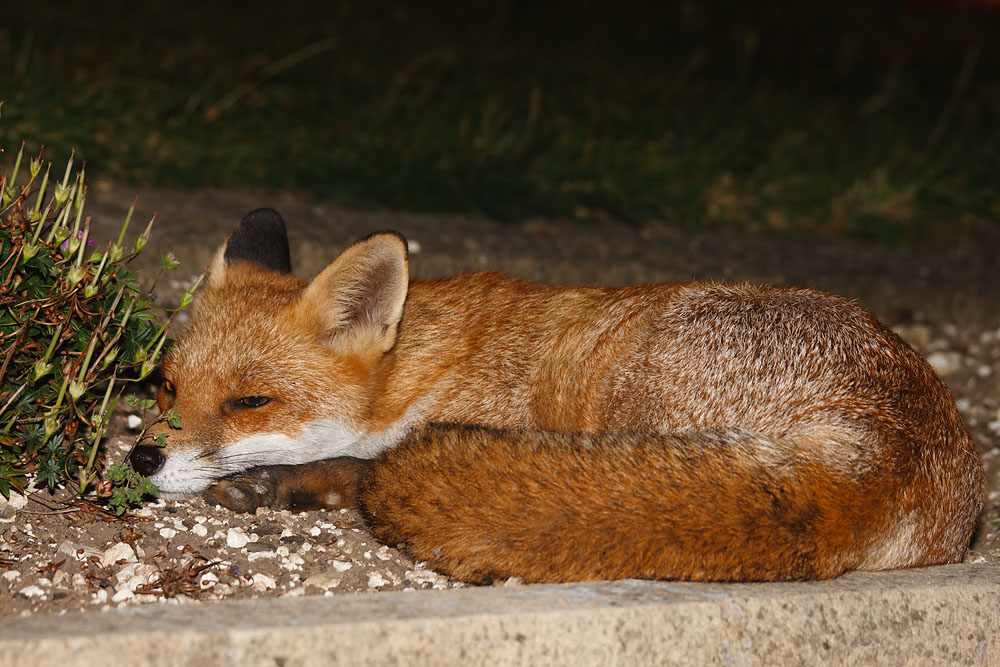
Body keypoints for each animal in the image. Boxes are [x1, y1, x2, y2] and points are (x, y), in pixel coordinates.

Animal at [129, 207, 985, 584]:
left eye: (250, 402)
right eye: (167, 386)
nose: (141, 457)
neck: (419, 370)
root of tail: (893, 443)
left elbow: (364, 460)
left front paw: (282, 477)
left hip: (625, 392)